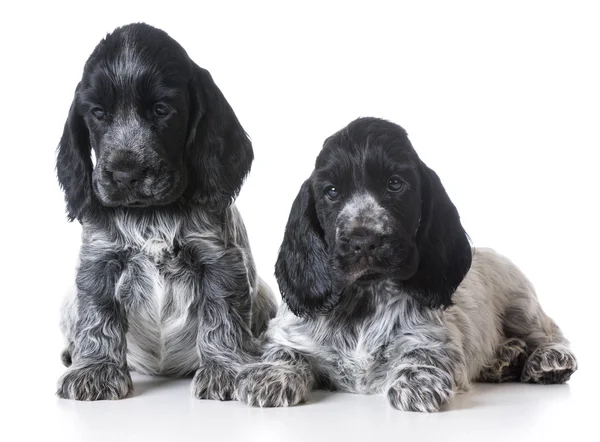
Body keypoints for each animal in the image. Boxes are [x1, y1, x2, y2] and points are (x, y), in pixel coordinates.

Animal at [56, 25, 276, 404]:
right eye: (98, 113)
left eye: (161, 110)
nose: (125, 174)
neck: (152, 214)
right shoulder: (99, 261)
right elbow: (97, 317)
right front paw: (95, 370)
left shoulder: (219, 259)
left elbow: (223, 317)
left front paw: (225, 371)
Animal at [237, 116, 580, 410]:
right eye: (331, 191)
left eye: (395, 184)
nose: (364, 240)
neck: (366, 296)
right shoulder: (289, 334)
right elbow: (283, 351)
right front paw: (270, 375)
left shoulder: (434, 337)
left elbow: (423, 353)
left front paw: (417, 382)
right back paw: (504, 359)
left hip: (520, 304)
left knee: (550, 333)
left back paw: (548, 360)